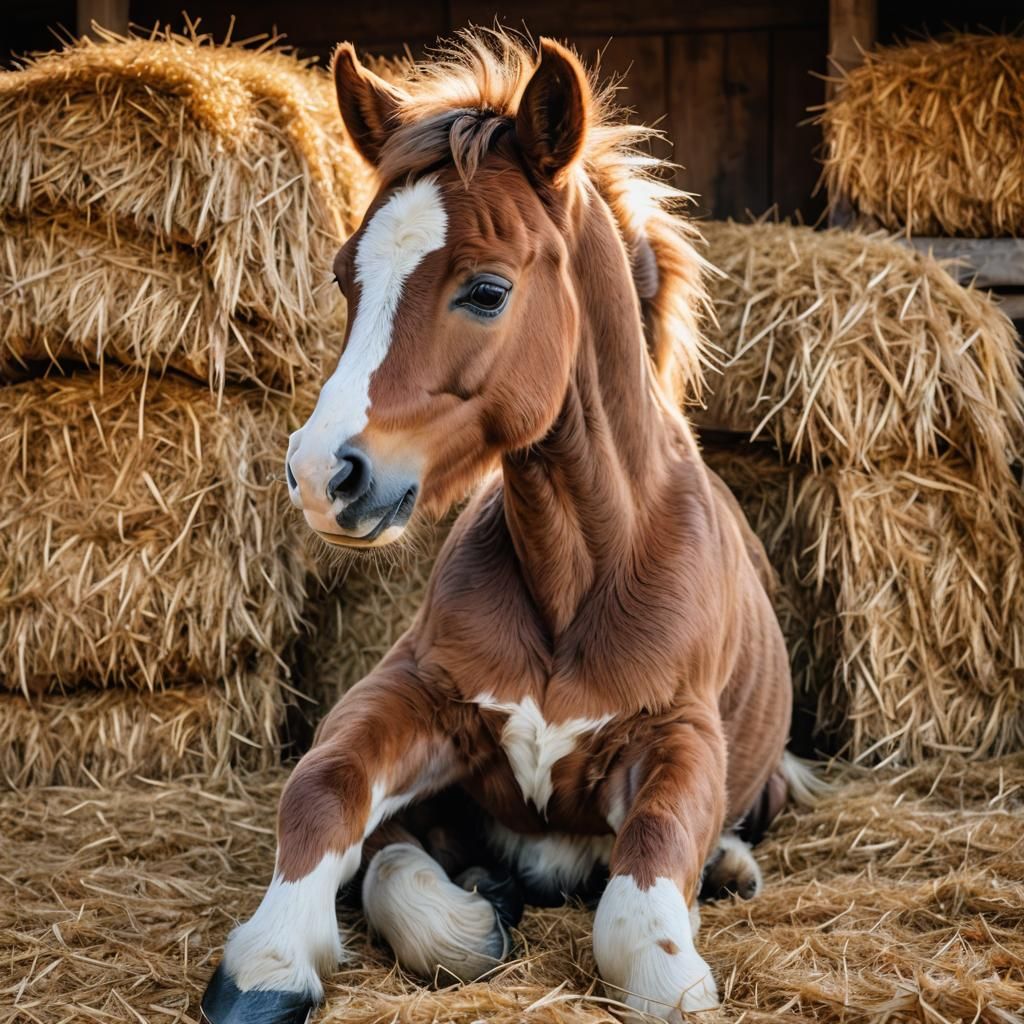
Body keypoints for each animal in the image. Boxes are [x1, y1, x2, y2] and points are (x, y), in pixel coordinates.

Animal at [200, 30, 808, 1024]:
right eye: (343, 276)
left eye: (487, 291)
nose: (323, 476)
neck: (579, 568)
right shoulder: (414, 693)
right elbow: (328, 796)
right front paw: (276, 958)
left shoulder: (679, 736)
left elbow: (641, 902)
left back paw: (728, 862)